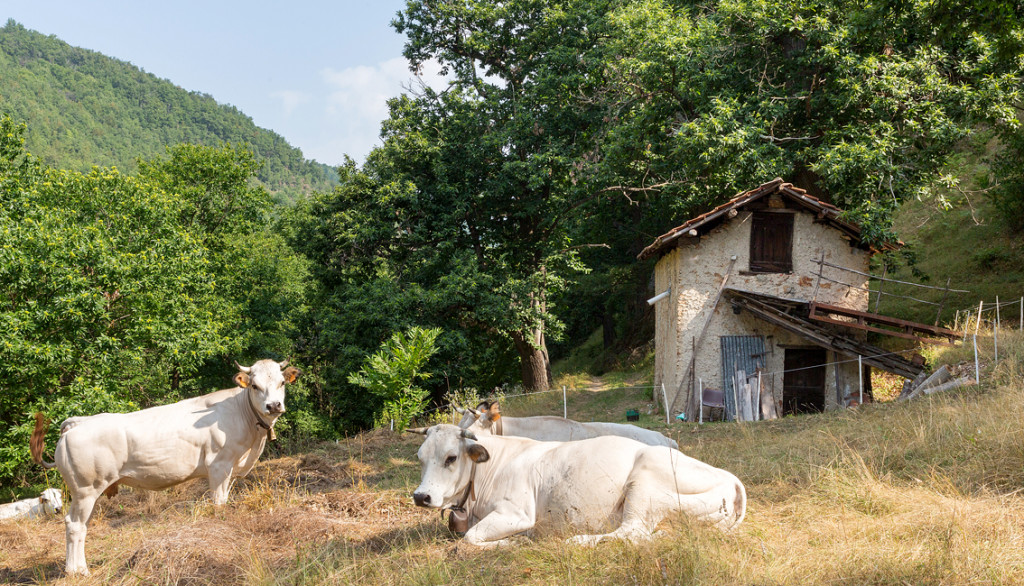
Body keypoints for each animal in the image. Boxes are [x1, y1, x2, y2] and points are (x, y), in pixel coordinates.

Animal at [29, 358, 299, 573]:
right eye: (255, 386)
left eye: (282, 383)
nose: (274, 406)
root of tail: (76, 423)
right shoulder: (219, 465)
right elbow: (219, 504)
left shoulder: (232, 469)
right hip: (85, 489)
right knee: (74, 525)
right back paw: (77, 572)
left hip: (87, 493)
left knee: (82, 526)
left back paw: (81, 567)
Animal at [407, 424, 745, 549]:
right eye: (420, 457)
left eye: (451, 457)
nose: (421, 496)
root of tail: (730, 477)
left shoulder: (516, 513)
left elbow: (469, 539)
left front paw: (513, 543)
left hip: (643, 485)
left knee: (631, 532)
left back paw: (578, 540)